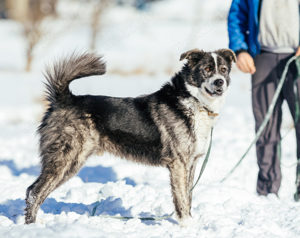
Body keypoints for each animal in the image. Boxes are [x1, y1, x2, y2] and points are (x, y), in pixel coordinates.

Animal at [24, 48, 236, 225]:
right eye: (207, 69)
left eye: (224, 70)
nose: (220, 82)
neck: (193, 101)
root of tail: (64, 100)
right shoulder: (179, 164)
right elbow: (181, 198)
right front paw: (187, 225)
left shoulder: (191, 164)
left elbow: (189, 197)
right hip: (66, 158)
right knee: (34, 192)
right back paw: (32, 227)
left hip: (70, 162)